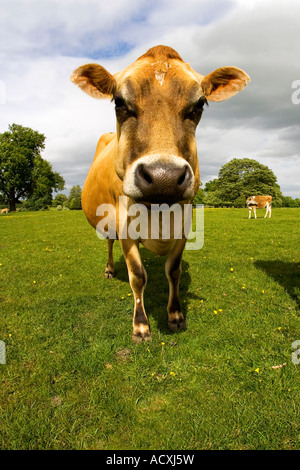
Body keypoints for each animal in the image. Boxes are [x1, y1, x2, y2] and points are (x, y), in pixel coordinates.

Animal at [71, 45, 250, 342]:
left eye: (200, 103)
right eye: (118, 101)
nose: (163, 178)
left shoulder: (184, 225)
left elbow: (173, 271)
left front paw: (175, 315)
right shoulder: (125, 227)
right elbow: (137, 276)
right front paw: (141, 325)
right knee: (109, 243)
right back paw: (109, 270)